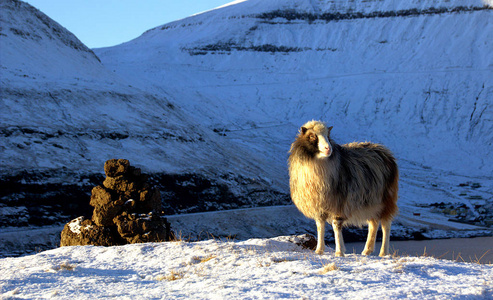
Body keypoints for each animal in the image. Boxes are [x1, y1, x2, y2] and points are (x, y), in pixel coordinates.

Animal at [286, 120, 398, 256]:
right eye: (312, 136)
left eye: (328, 135)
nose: (328, 148)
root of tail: (385, 151)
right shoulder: (319, 205)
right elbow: (320, 226)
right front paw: (319, 250)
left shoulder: (340, 202)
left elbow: (336, 226)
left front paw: (339, 252)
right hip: (371, 202)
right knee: (373, 223)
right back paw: (366, 251)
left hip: (386, 199)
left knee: (386, 225)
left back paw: (383, 253)